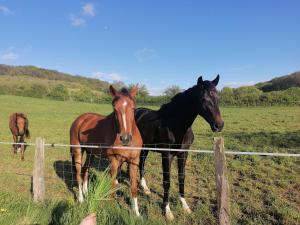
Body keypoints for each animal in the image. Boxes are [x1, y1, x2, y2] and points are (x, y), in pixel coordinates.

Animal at [69, 84, 142, 216]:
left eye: (133, 108)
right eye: (114, 109)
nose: (125, 138)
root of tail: (80, 119)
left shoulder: (134, 161)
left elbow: (133, 187)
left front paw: (137, 214)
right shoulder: (114, 161)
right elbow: (112, 185)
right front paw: (112, 208)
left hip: (90, 153)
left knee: (85, 170)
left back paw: (86, 193)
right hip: (77, 151)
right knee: (78, 173)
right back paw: (81, 199)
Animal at [135, 75, 224, 220]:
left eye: (218, 97)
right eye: (203, 99)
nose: (219, 125)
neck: (176, 124)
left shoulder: (183, 154)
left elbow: (181, 178)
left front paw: (185, 206)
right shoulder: (167, 155)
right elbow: (167, 181)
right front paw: (167, 211)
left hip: (144, 148)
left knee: (141, 164)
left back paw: (145, 189)